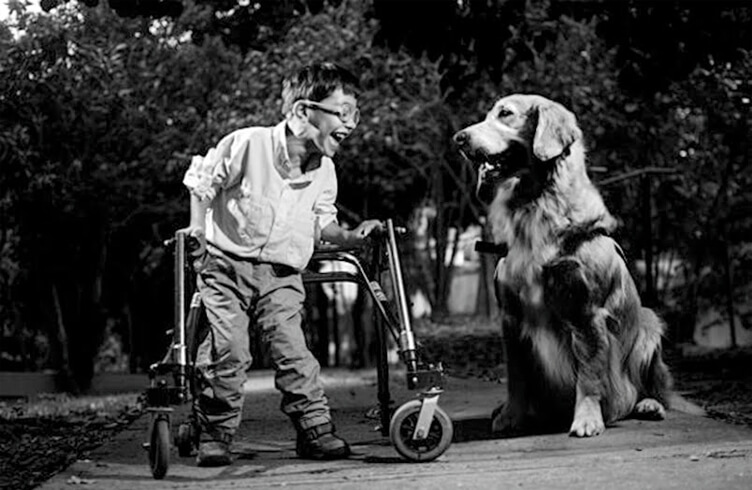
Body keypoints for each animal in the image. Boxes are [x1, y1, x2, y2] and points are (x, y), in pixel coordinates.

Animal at [450, 94, 672, 436]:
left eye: (505, 113)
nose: (458, 138)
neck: (537, 207)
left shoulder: (586, 310)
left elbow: (589, 373)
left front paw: (587, 419)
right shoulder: (510, 316)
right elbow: (516, 377)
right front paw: (511, 416)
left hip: (650, 323)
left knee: (656, 386)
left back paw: (649, 404)